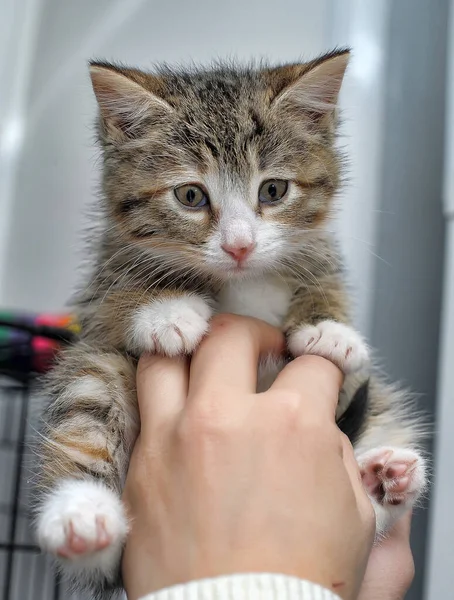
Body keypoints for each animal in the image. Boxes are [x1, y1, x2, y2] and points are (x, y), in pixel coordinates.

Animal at [34, 49, 426, 596]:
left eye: (274, 190)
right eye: (191, 196)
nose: (240, 245)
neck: (243, 280)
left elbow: (325, 274)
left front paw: (328, 325)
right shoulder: (97, 295)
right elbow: (113, 292)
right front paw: (165, 309)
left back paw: (383, 480)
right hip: (97, 371)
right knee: (89, 431)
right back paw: (81, 517)